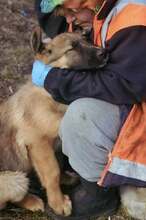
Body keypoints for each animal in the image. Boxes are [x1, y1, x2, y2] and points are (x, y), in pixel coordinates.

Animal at [0, 28, 108, 216]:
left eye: (86, 40)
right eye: (72, 48)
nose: (105, 52)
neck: (49, 95)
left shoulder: (52, 144)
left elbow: (57, 164)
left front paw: (65, 179)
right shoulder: (38, 143)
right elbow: (52, 172)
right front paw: (58, 203)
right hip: (15, 179)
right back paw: (32, 201)